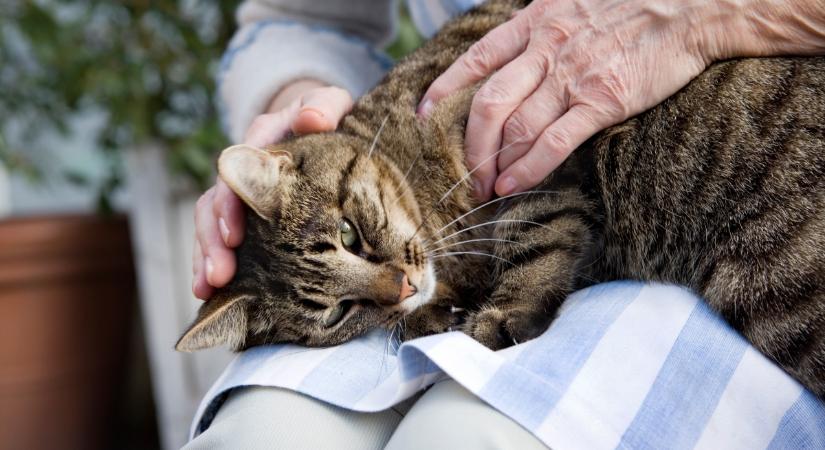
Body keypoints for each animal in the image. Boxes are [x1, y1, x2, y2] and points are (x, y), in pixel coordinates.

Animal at [175, 0, 824, 394]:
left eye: (348, 235)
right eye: (336, 313)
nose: (401, 289)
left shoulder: (532, 146)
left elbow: (532, 241)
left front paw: (492, 319)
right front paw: (435, 314)